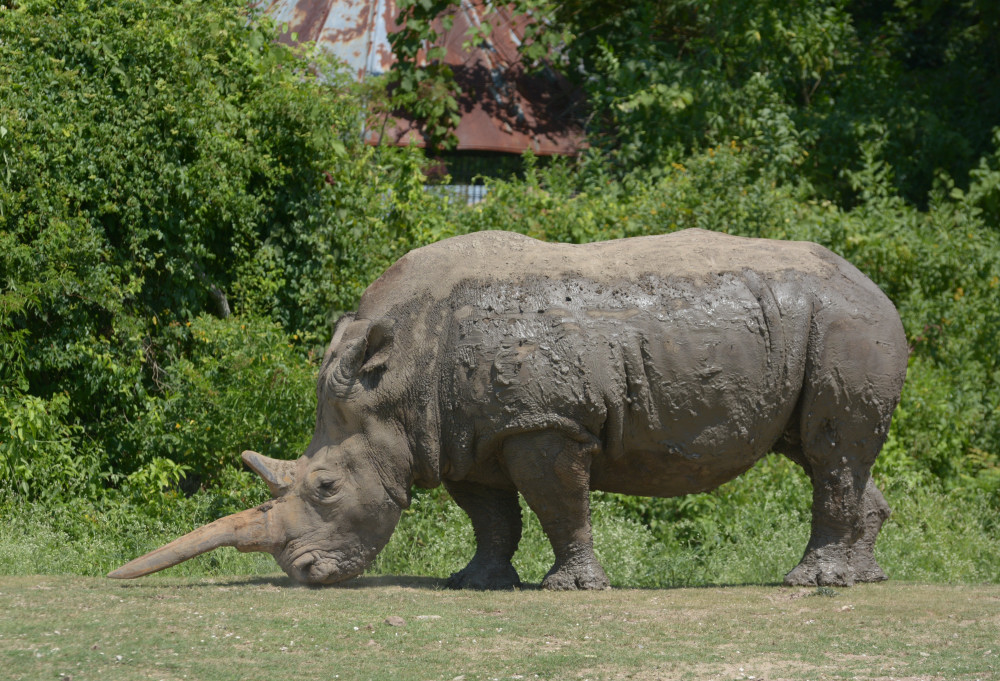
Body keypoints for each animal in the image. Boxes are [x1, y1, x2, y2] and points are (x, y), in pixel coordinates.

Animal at [110, 229, 908, 589]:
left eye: (327, 486)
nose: (305, 573)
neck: (394, 379)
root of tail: (878, 288)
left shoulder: (543, 423)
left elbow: (559, 504)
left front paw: (573, 589)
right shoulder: (464, 434)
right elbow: (491, 515)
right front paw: (476, 583)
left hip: (846, 326)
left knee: (831, 452)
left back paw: (811, 583)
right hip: (822, 328)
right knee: (828, 451)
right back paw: (863, 577)